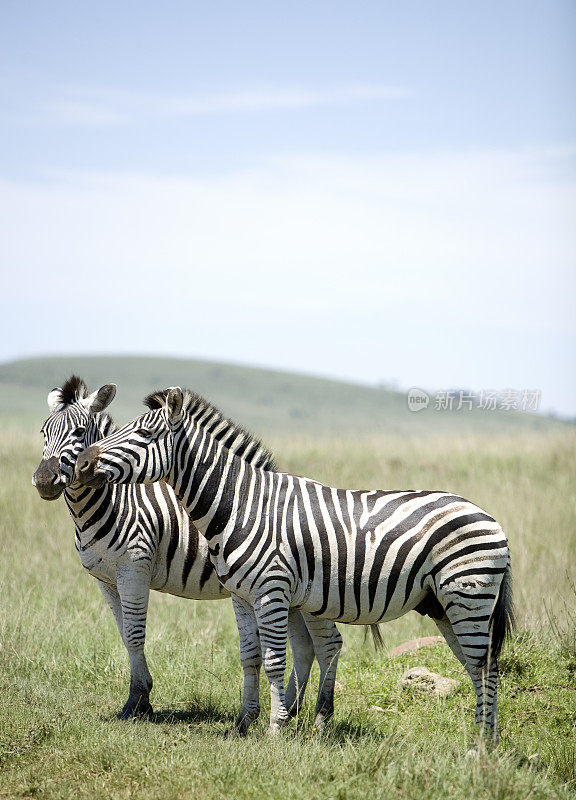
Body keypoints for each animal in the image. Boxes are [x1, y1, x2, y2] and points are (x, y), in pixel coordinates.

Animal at [32, 376, 346, 724]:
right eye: (44, 431)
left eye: (79, 431)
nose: (44, 480)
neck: (112, 502)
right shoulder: (106, 579)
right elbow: (124, 634)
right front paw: (140, 698)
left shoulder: (135, 569)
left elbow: (135, 634)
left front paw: (137, 700)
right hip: (290, 595)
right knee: (305, 646)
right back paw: (290, 708)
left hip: (311, 594)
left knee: (327, 642)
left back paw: (315, 714)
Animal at [76, 384, 512, 740]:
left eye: (144, 434)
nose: (83, 464)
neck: (239, 505)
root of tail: (491, 517)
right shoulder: (242, 596)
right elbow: (249, 657)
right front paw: (243, 723)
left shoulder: (270, 592)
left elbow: (273, 661)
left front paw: (275, 727)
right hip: (442, 605)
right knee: (476, 666)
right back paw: (481, 739)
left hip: (467, 597)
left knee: (483, 665)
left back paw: (480, 746)